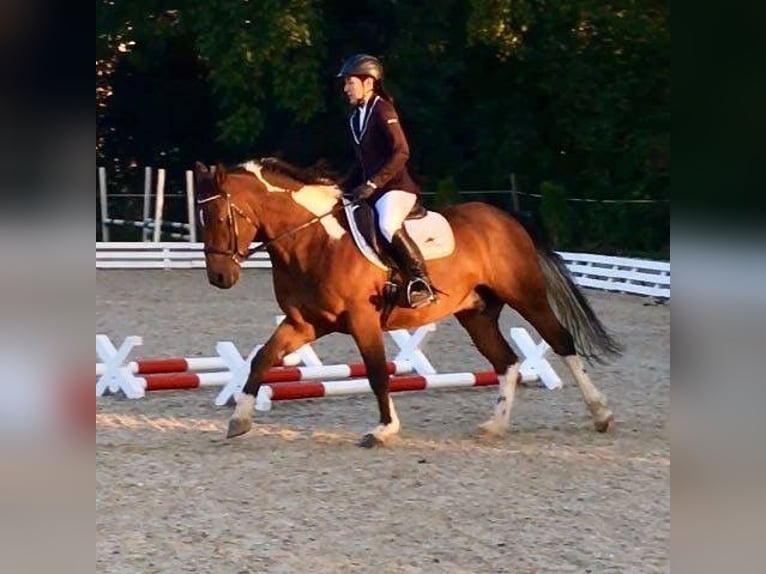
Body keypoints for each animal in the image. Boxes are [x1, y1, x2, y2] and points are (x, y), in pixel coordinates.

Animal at [193, 157, 623, 447]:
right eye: (202, 216)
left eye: (221, 216)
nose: (219, 278)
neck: (313, 241)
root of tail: (505, 217)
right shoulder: (304, 322)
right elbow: (262, 359)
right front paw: (240, 420)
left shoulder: (362, 320)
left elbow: (377, 373)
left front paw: (384, 429)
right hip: (477, 314)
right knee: (506, 362)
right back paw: (495, 425)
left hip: (526, 296)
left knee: (561, 341)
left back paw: (601, 413)